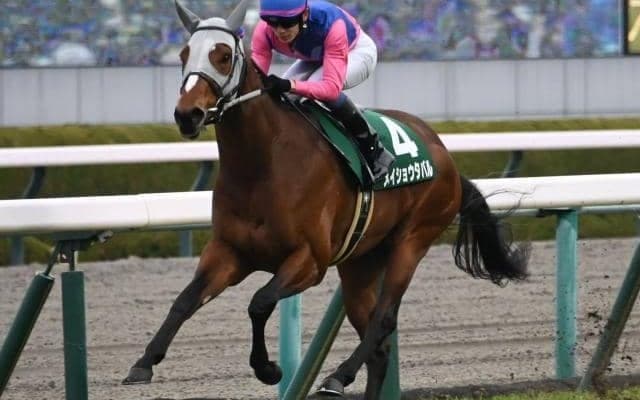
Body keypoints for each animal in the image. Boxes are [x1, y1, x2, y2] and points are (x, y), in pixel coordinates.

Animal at [122, 1, 529, 398]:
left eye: (222, 55)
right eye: (183, 53)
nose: (186, 115)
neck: (262, 164)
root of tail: (446, 158)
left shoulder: (310, 260)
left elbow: (260, 302)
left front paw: (268, 369)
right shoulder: (229, 252)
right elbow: (185, 300)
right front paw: (143, 363)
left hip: (413, 240)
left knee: (383, 320)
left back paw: (338, 376)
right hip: (360, 262)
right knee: (378, 344)